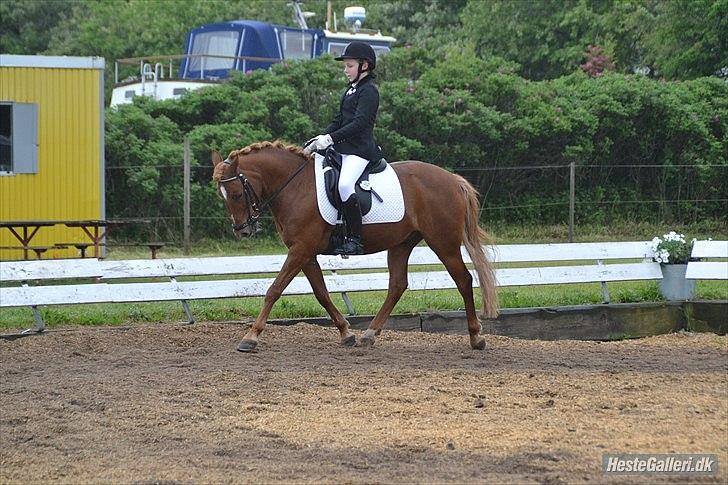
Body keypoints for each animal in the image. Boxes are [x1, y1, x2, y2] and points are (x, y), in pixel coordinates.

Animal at [208, 140, 498, 352]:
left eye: (236, 194)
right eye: (222, 197)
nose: (243, 231)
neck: (296, 186)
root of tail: (453, 179)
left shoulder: (300, 249)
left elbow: (274, 290)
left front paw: (250, 338)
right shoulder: (306, 252)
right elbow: (322, 294)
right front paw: (346, 333)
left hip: (443, 242)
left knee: (463, 279)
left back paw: (476, 337)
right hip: (401, 244)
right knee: (397, 285)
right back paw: (369, 334)